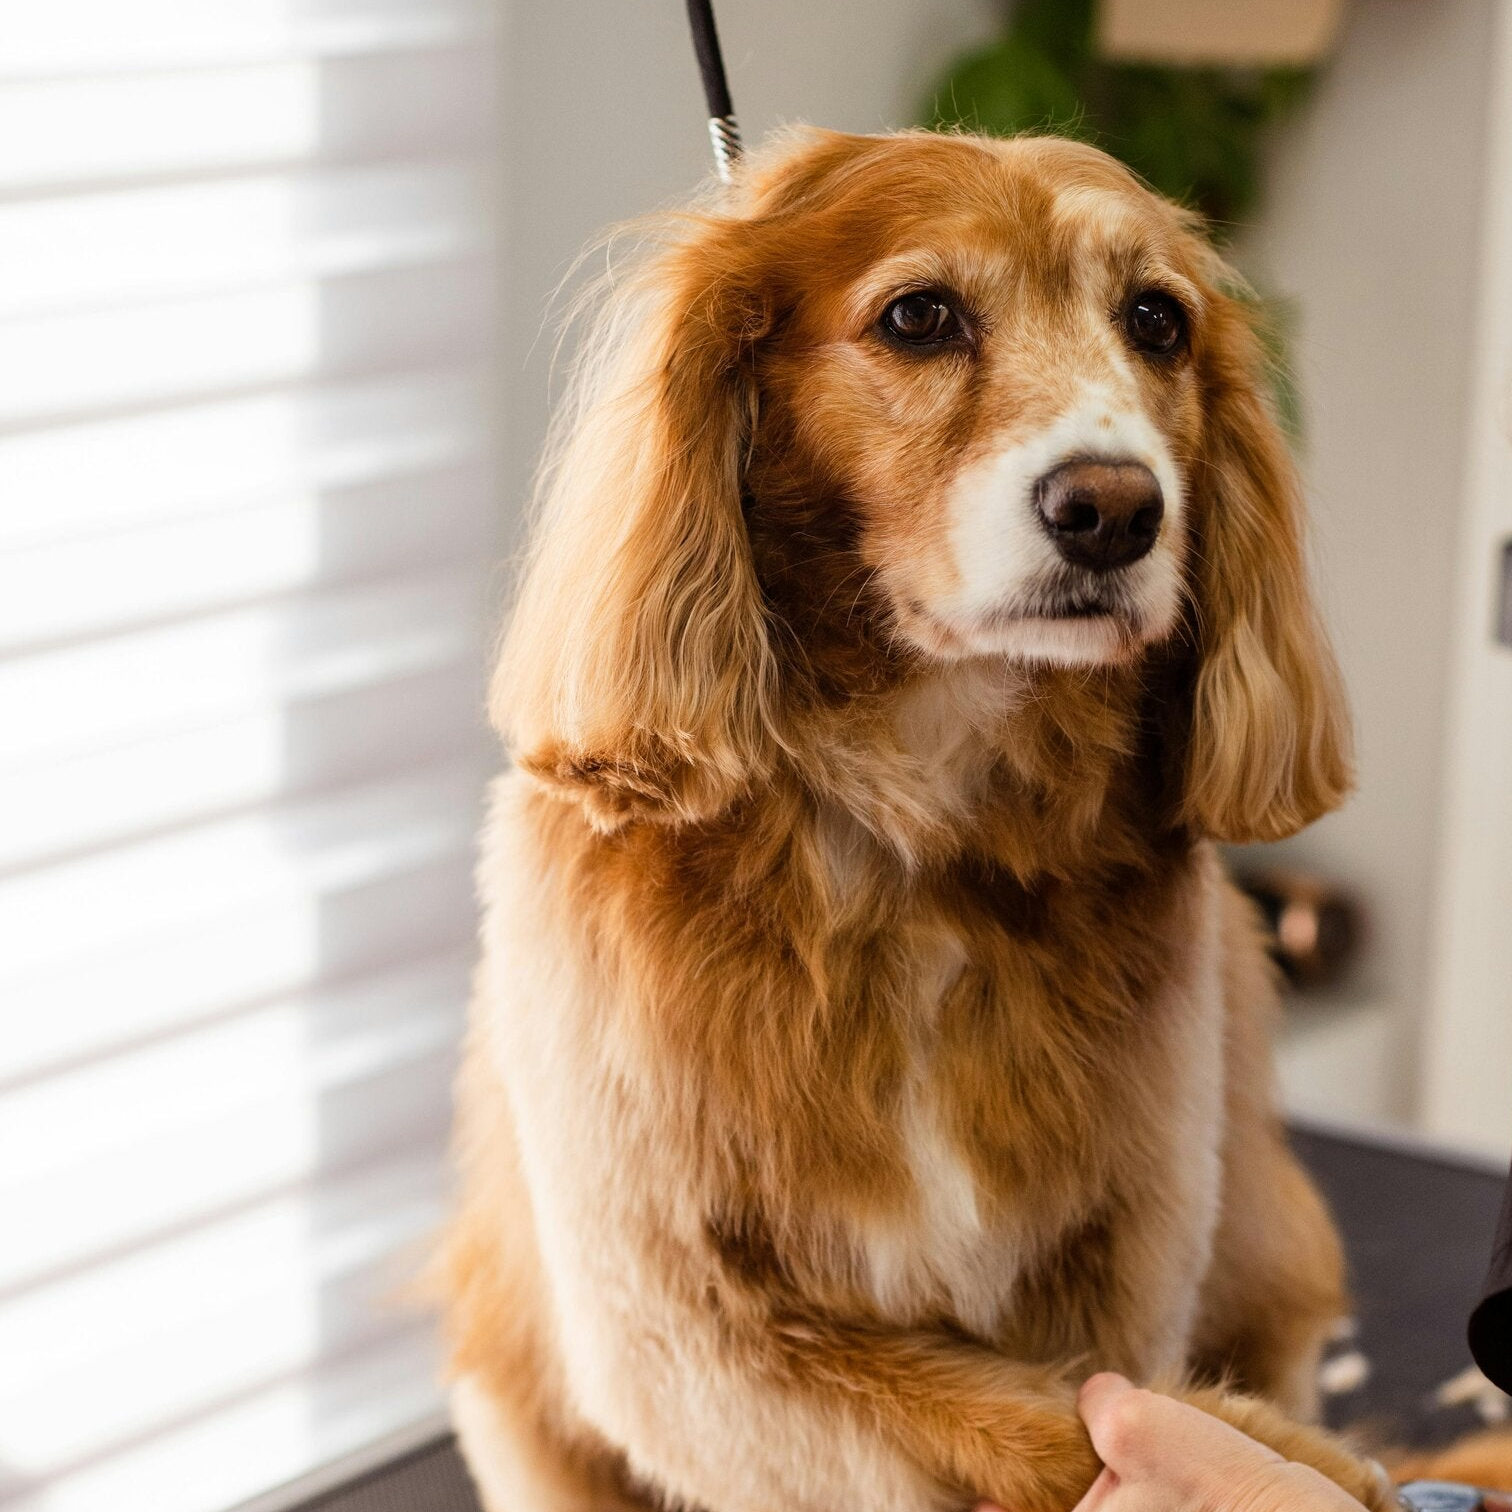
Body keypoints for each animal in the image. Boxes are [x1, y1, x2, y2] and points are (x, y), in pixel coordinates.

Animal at [437, 126, 1398, 1512]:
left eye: (1158, 320)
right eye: (919, 316)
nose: (1115, 509)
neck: (917, 838)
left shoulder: (1128, 1251)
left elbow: (1084, 1395)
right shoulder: (686, 1334)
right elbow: (1034, 1427)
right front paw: (1283, 1466)